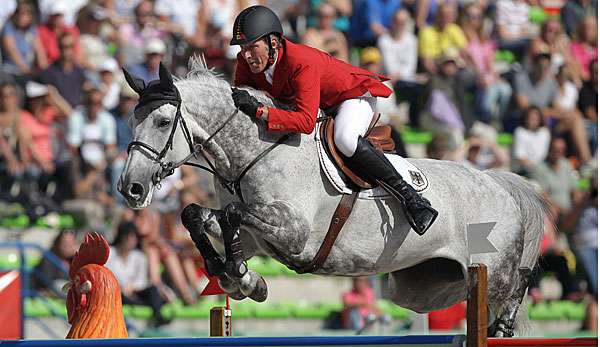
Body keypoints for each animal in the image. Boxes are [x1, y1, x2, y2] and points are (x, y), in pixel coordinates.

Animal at [117, 58, 548, 338]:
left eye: (162, 121)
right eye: (132, 120)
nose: (130, 188)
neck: (254, 151)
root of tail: (498, 182)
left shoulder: (293, 233)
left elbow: (234, 214)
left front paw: (239, 276)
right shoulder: (260, 238)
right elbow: (198, 215)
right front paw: (241, 278)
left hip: (491, 268)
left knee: (515, 283)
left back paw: (502, 321)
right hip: (421, 288)